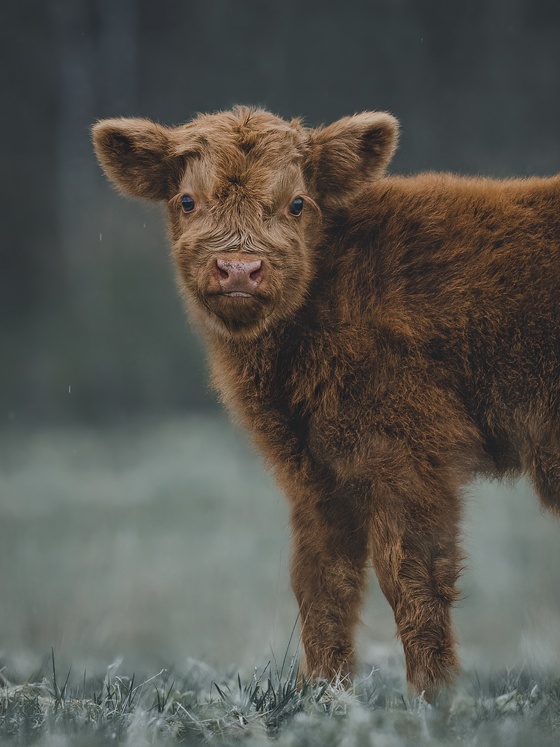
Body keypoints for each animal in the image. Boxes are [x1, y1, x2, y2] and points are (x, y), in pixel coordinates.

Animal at [92, 108, 560, 700]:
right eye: (188, 200)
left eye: (297, 203)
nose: (239, 269)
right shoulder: (315, 472)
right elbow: (321, 579)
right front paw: (322, 690)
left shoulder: (407, 454)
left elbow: (412, 574)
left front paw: (434, 695)